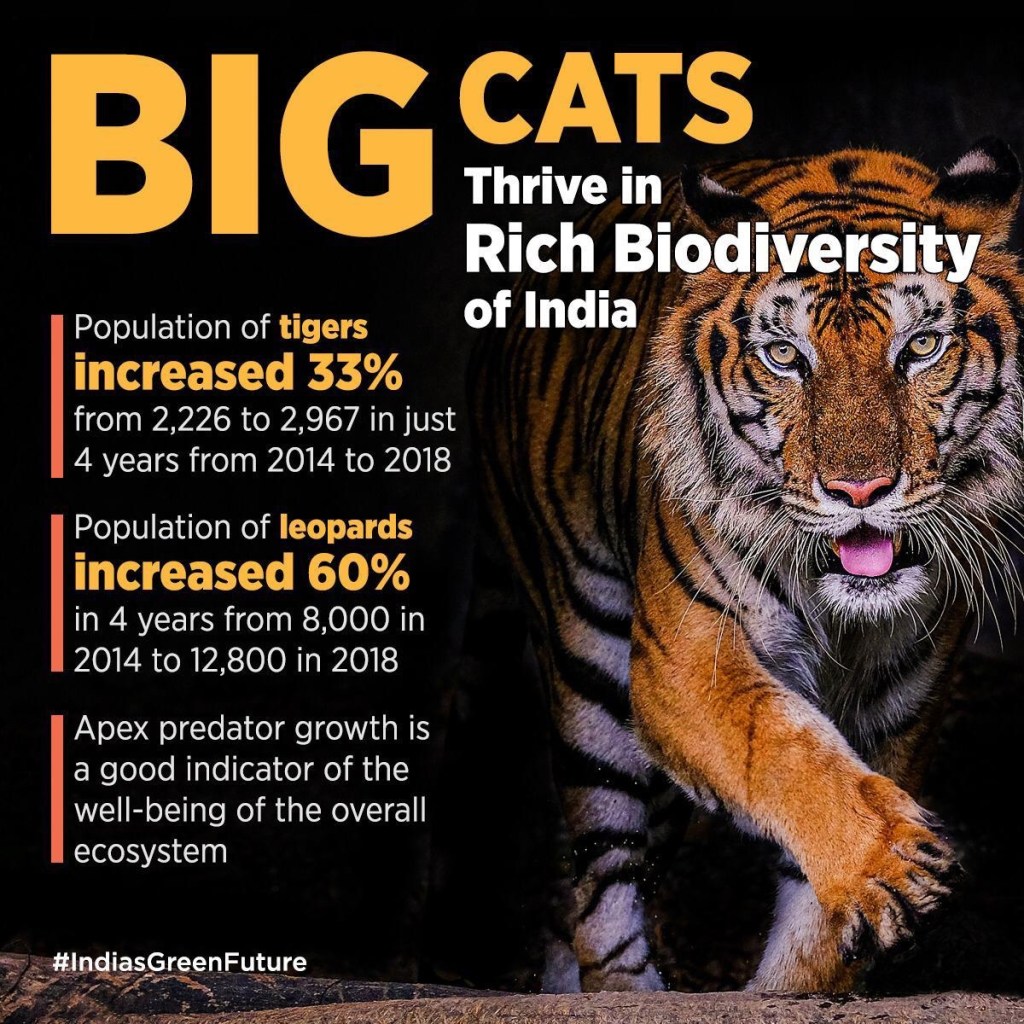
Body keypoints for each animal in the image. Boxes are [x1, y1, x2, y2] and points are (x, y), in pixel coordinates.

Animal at [468, 139, 1024, 993]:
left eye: (920, 348)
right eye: (786, 357)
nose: (859, 490)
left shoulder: (902, 695)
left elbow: (818, 908)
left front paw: (803, 981)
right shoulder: (684, 658)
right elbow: (786, 750)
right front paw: (893, 863)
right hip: (591, 661)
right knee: (601, 876)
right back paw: (625, 991)